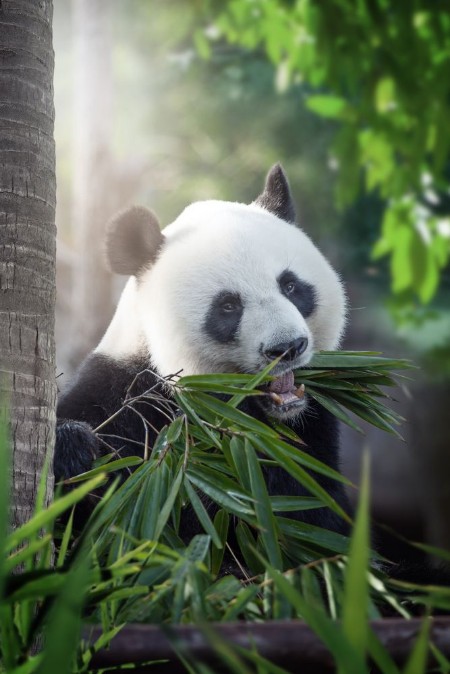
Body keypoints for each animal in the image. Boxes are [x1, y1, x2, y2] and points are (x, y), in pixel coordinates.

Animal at [55, 164, 351, 542]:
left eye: (290, 285)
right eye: (228, 306)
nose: (287, 347)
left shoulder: (311, 432)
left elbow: (310, 514)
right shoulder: (124, 398)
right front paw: (71, 448)